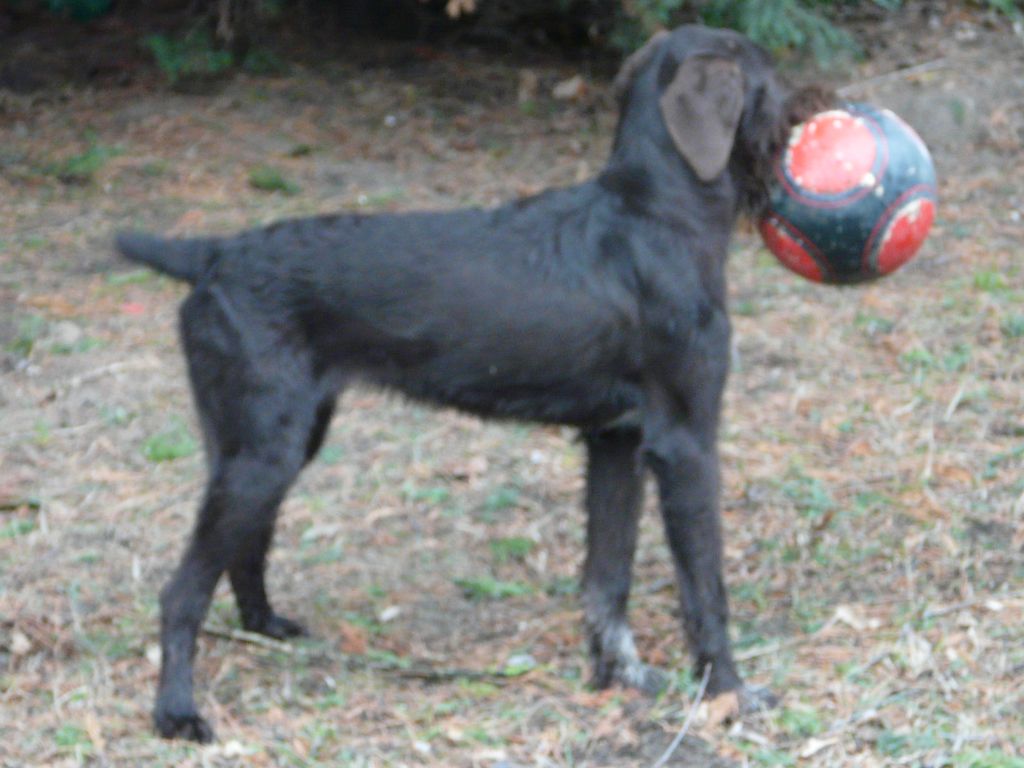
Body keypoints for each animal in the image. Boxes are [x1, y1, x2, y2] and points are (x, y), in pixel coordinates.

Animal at [116, 27, 827, 741]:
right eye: (768, 77)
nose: (815, 108)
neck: (656, 212)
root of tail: (212, 254)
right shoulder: (685, 442)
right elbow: (705, 587)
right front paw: (729, 692)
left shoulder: (615, 442)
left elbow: (608, 576)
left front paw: (618, 674)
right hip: (265, 452)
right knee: (181, 592)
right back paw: (177, 713)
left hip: (271, 443)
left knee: (243, 547)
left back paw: (264, 626)